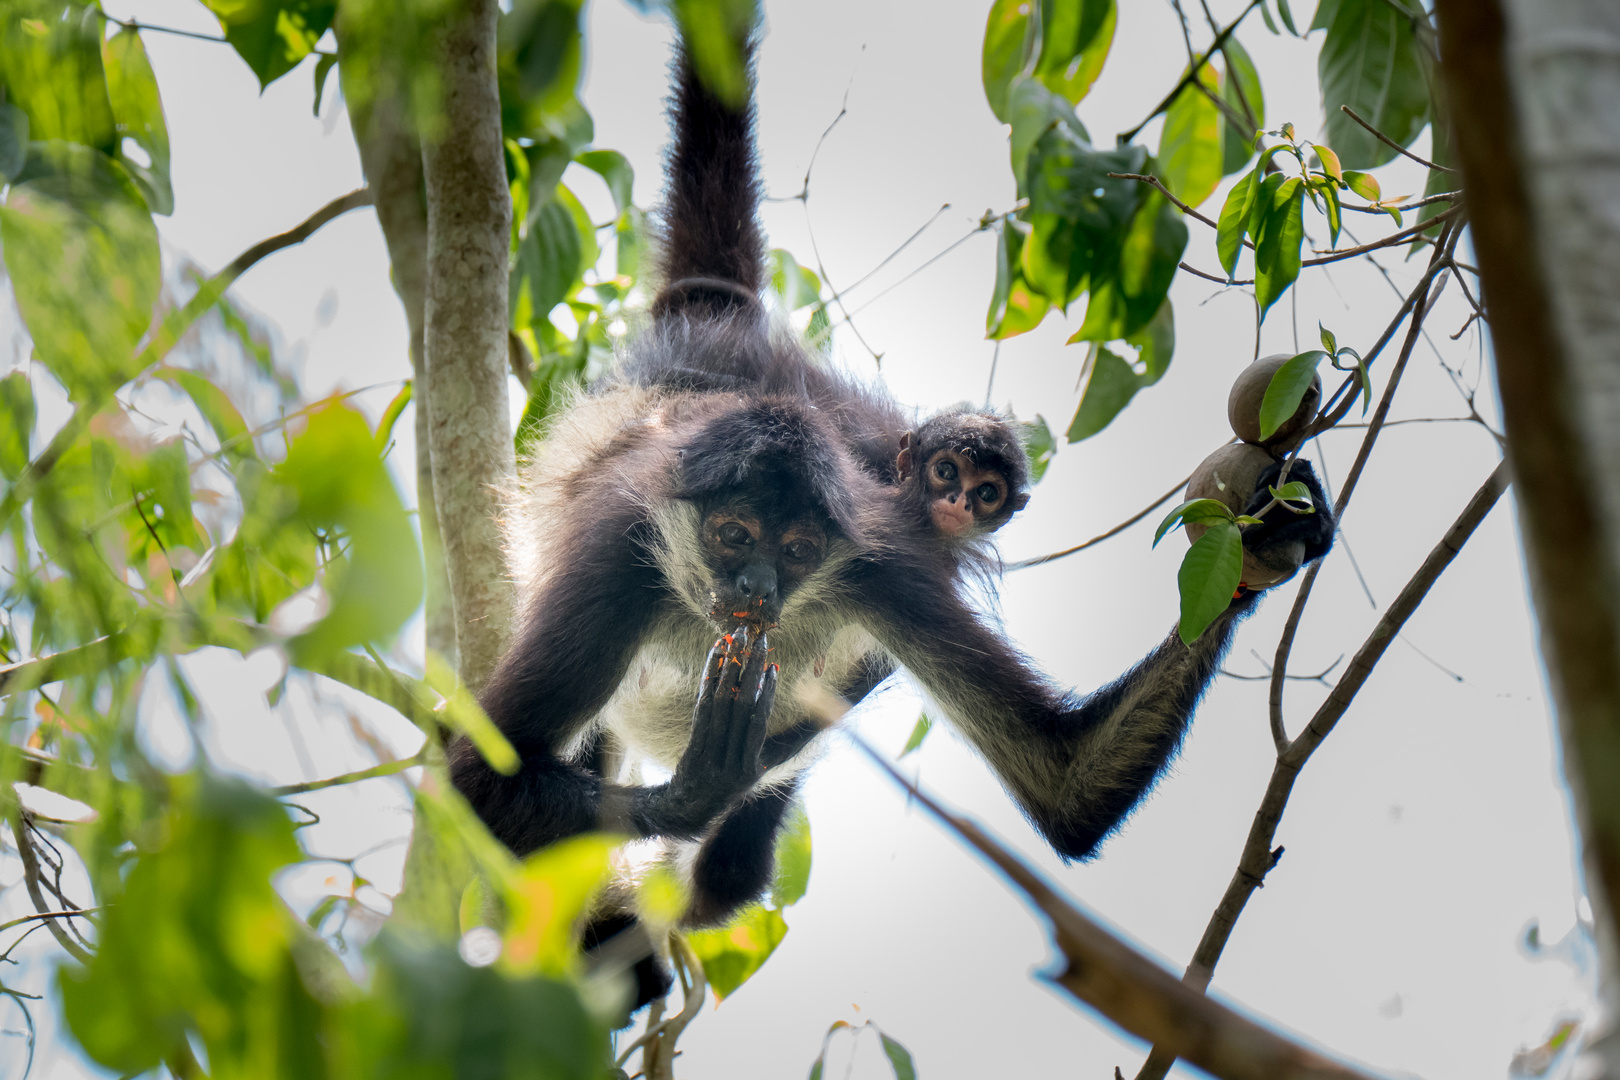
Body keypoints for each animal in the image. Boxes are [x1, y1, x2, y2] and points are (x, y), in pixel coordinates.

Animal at [450, 23, 1334, 990]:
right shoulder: (618, 554)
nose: (756, 588)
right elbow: (478, 783)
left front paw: (1267, 541)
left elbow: (1066, 787)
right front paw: (695, 787)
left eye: (799, 552)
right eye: (731, 536)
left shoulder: (883, 562)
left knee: (733, 865)